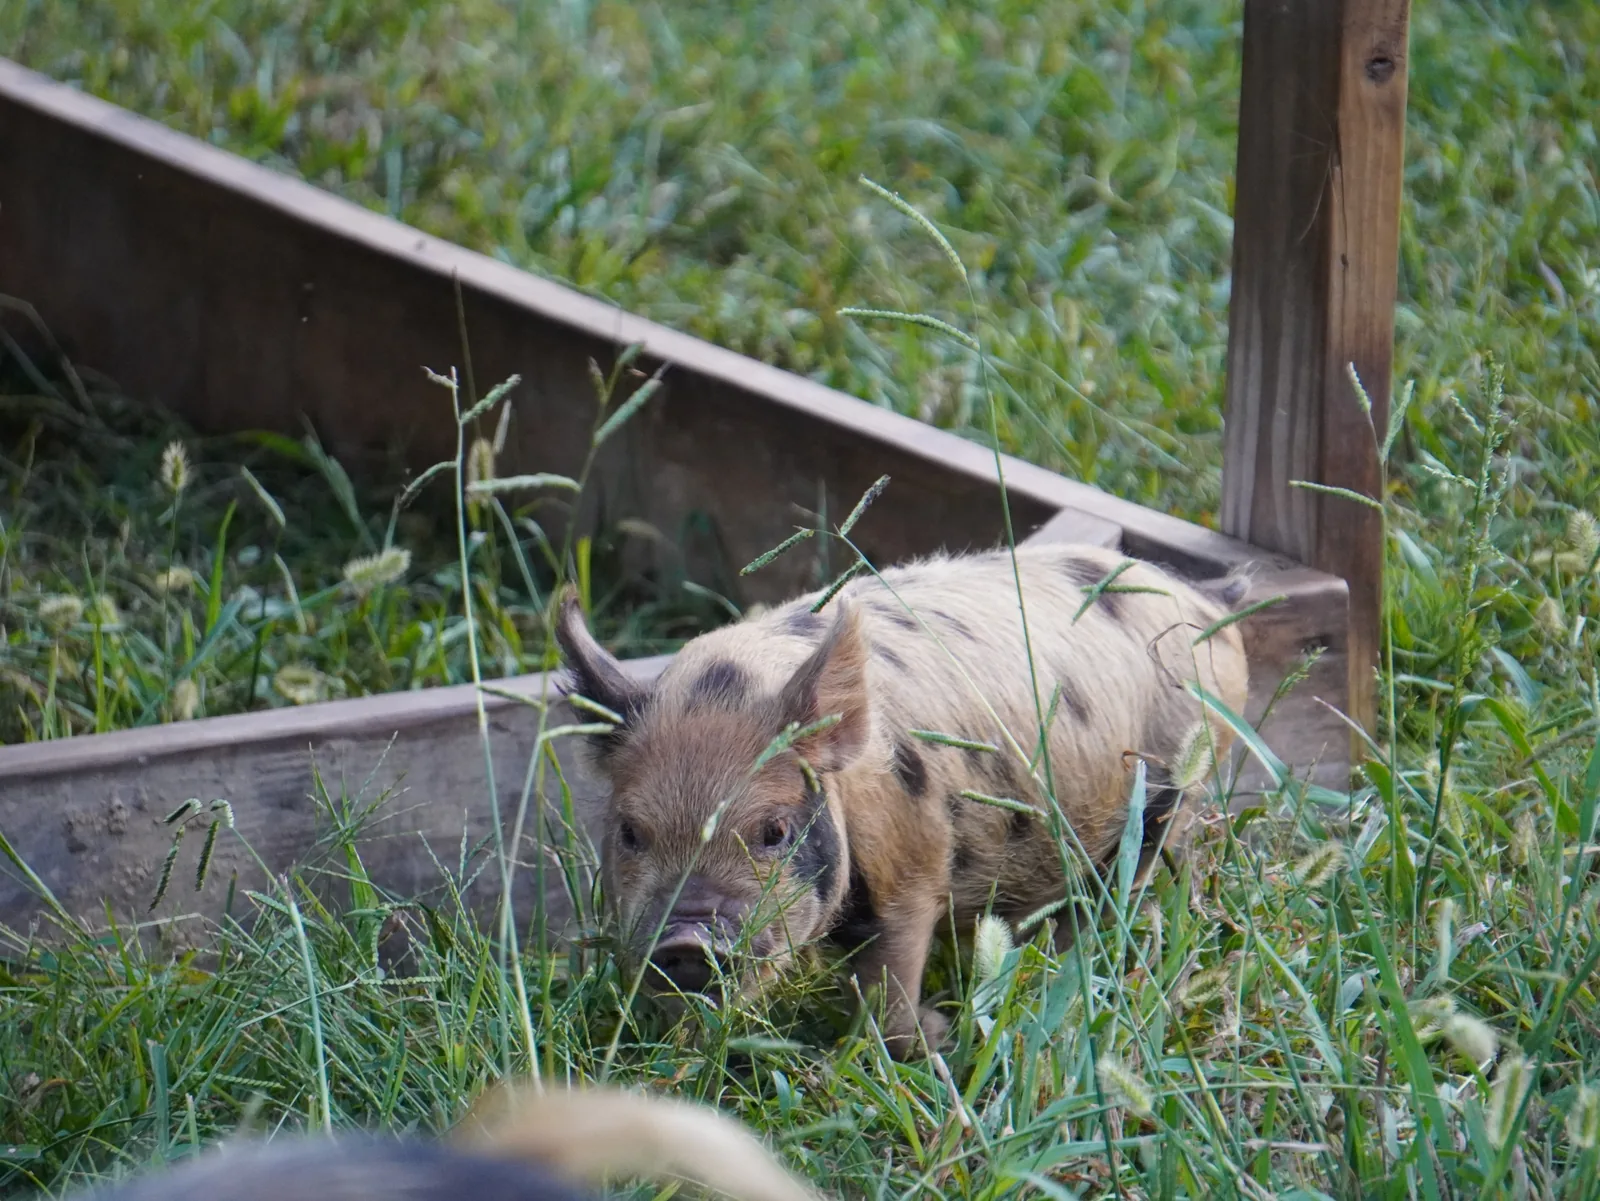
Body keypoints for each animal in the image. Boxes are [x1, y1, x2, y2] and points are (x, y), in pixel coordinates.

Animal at [554, 542, 1250, 1058]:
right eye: (630, 832)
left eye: (774, 831)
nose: (686, 940)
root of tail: (1207, 599)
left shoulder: (915, 861)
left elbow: (890, 969)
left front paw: (920, 1043)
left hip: (1176, 792)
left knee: (1128, 884)